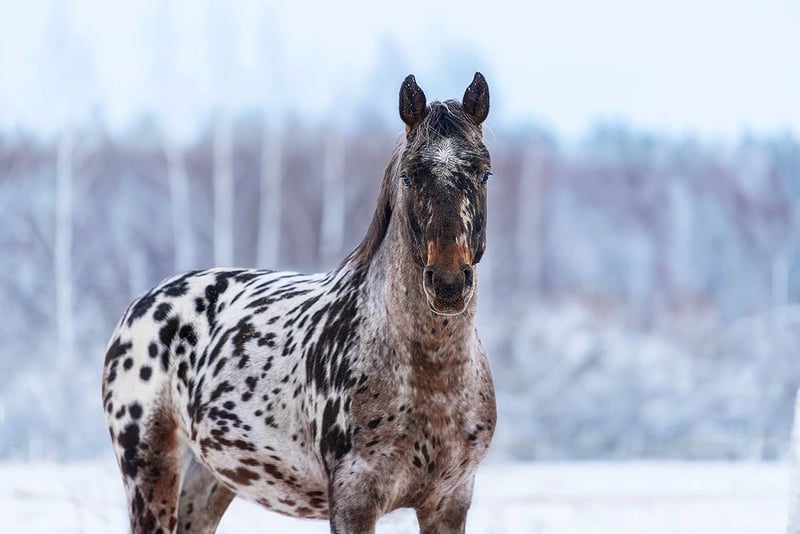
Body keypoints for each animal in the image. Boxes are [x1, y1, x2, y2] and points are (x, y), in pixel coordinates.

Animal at [101, 72, 496, 533]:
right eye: (408, 176)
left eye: (485, 174)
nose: (448, 282)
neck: (429, 377)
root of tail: (144, 305)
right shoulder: (353, 500)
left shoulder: (450, 502)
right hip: (150, 474)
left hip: (211, 480)